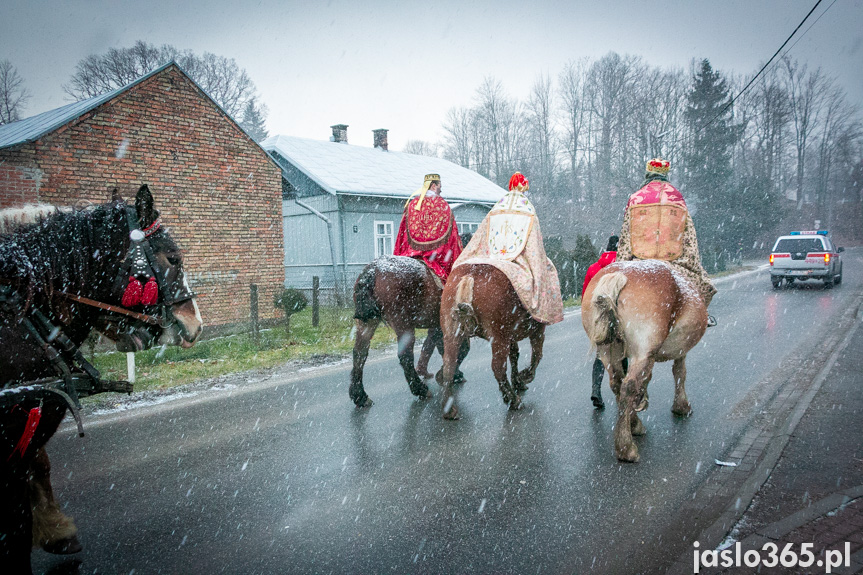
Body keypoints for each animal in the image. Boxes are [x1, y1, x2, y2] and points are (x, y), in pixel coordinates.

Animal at [350, 256, 466, 410]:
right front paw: (450, 374)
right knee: (405, 356)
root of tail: (373, 270)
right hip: (403, 325)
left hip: (367, 323)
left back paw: (360, 396)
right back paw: (420, 389)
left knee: (359, 353)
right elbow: (457, 349)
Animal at [438, 264, 548, 418]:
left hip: (452, 334)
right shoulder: (538, 329)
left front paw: (517, 382)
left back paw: (449, 410)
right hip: (498, 336)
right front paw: (524, 377)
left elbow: (515, 355)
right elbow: (537, 355)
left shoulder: (510, 336)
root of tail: (469, 275)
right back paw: (514, 401)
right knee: (498, 367)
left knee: (449, 365)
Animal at [580, 260, 708, 464]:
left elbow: (647, 379)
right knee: (629, 385)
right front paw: (681, 406)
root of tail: (618, 276)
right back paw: (626, 448)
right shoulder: (679, 351)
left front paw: (641, 403)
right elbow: (680, 372)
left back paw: (633, 425)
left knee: (617, 383)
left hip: (609, 350)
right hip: (641, 351)